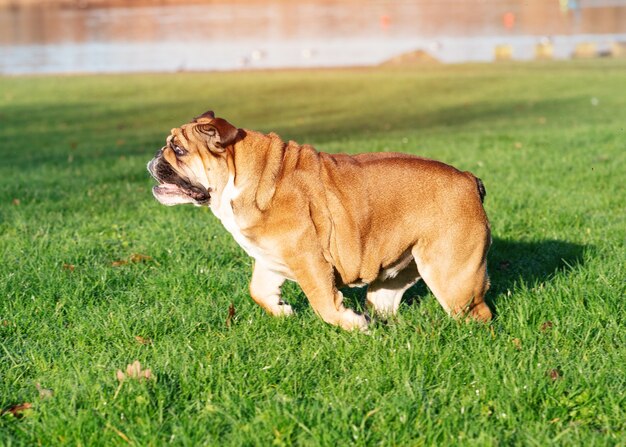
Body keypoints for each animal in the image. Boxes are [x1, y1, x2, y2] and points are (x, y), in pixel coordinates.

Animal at [149, 111, 490, 328]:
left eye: (178, 149)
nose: (154, 157)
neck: (244, 177)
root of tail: (468, 179)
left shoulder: (309, 261)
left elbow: (323, 302)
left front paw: (350, 324)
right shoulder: (270, 257)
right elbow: (258, 290)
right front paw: (282, 311)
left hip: (452, 275)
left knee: (477, 313)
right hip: (396, 274)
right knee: (383, 301)